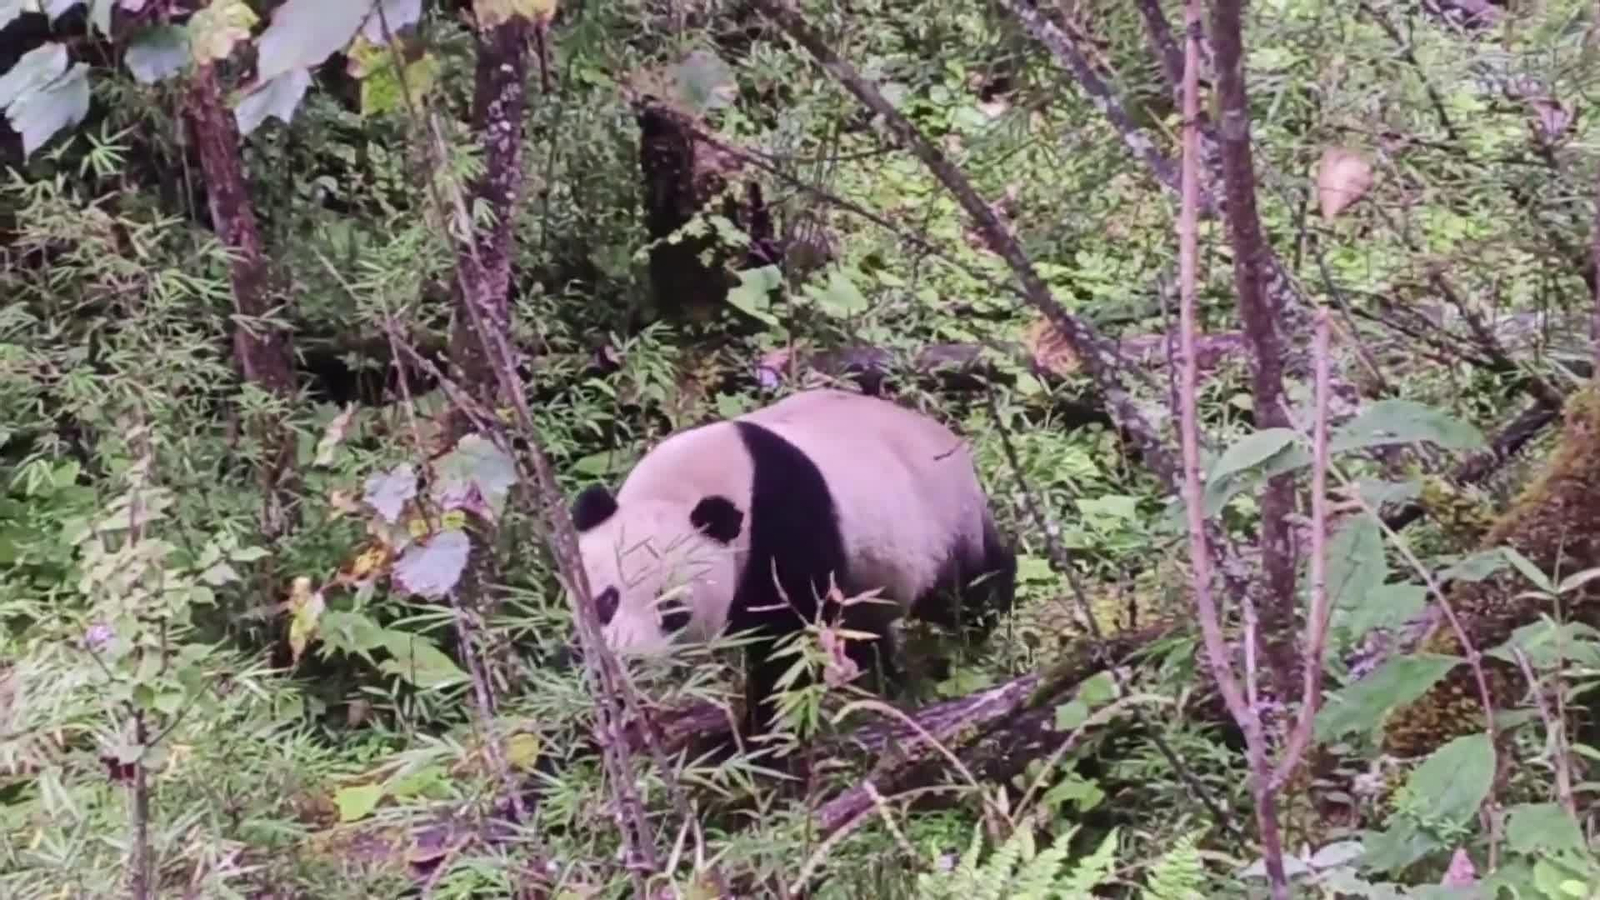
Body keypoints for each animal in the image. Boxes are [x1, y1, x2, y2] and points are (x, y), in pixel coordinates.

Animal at [568, 388, 1016, 740]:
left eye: (672, 610)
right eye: (606, 600)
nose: (631, 661)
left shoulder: (782, 527)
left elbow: (787, 642)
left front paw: (761, 734)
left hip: (940, 523)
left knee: (966, 590)